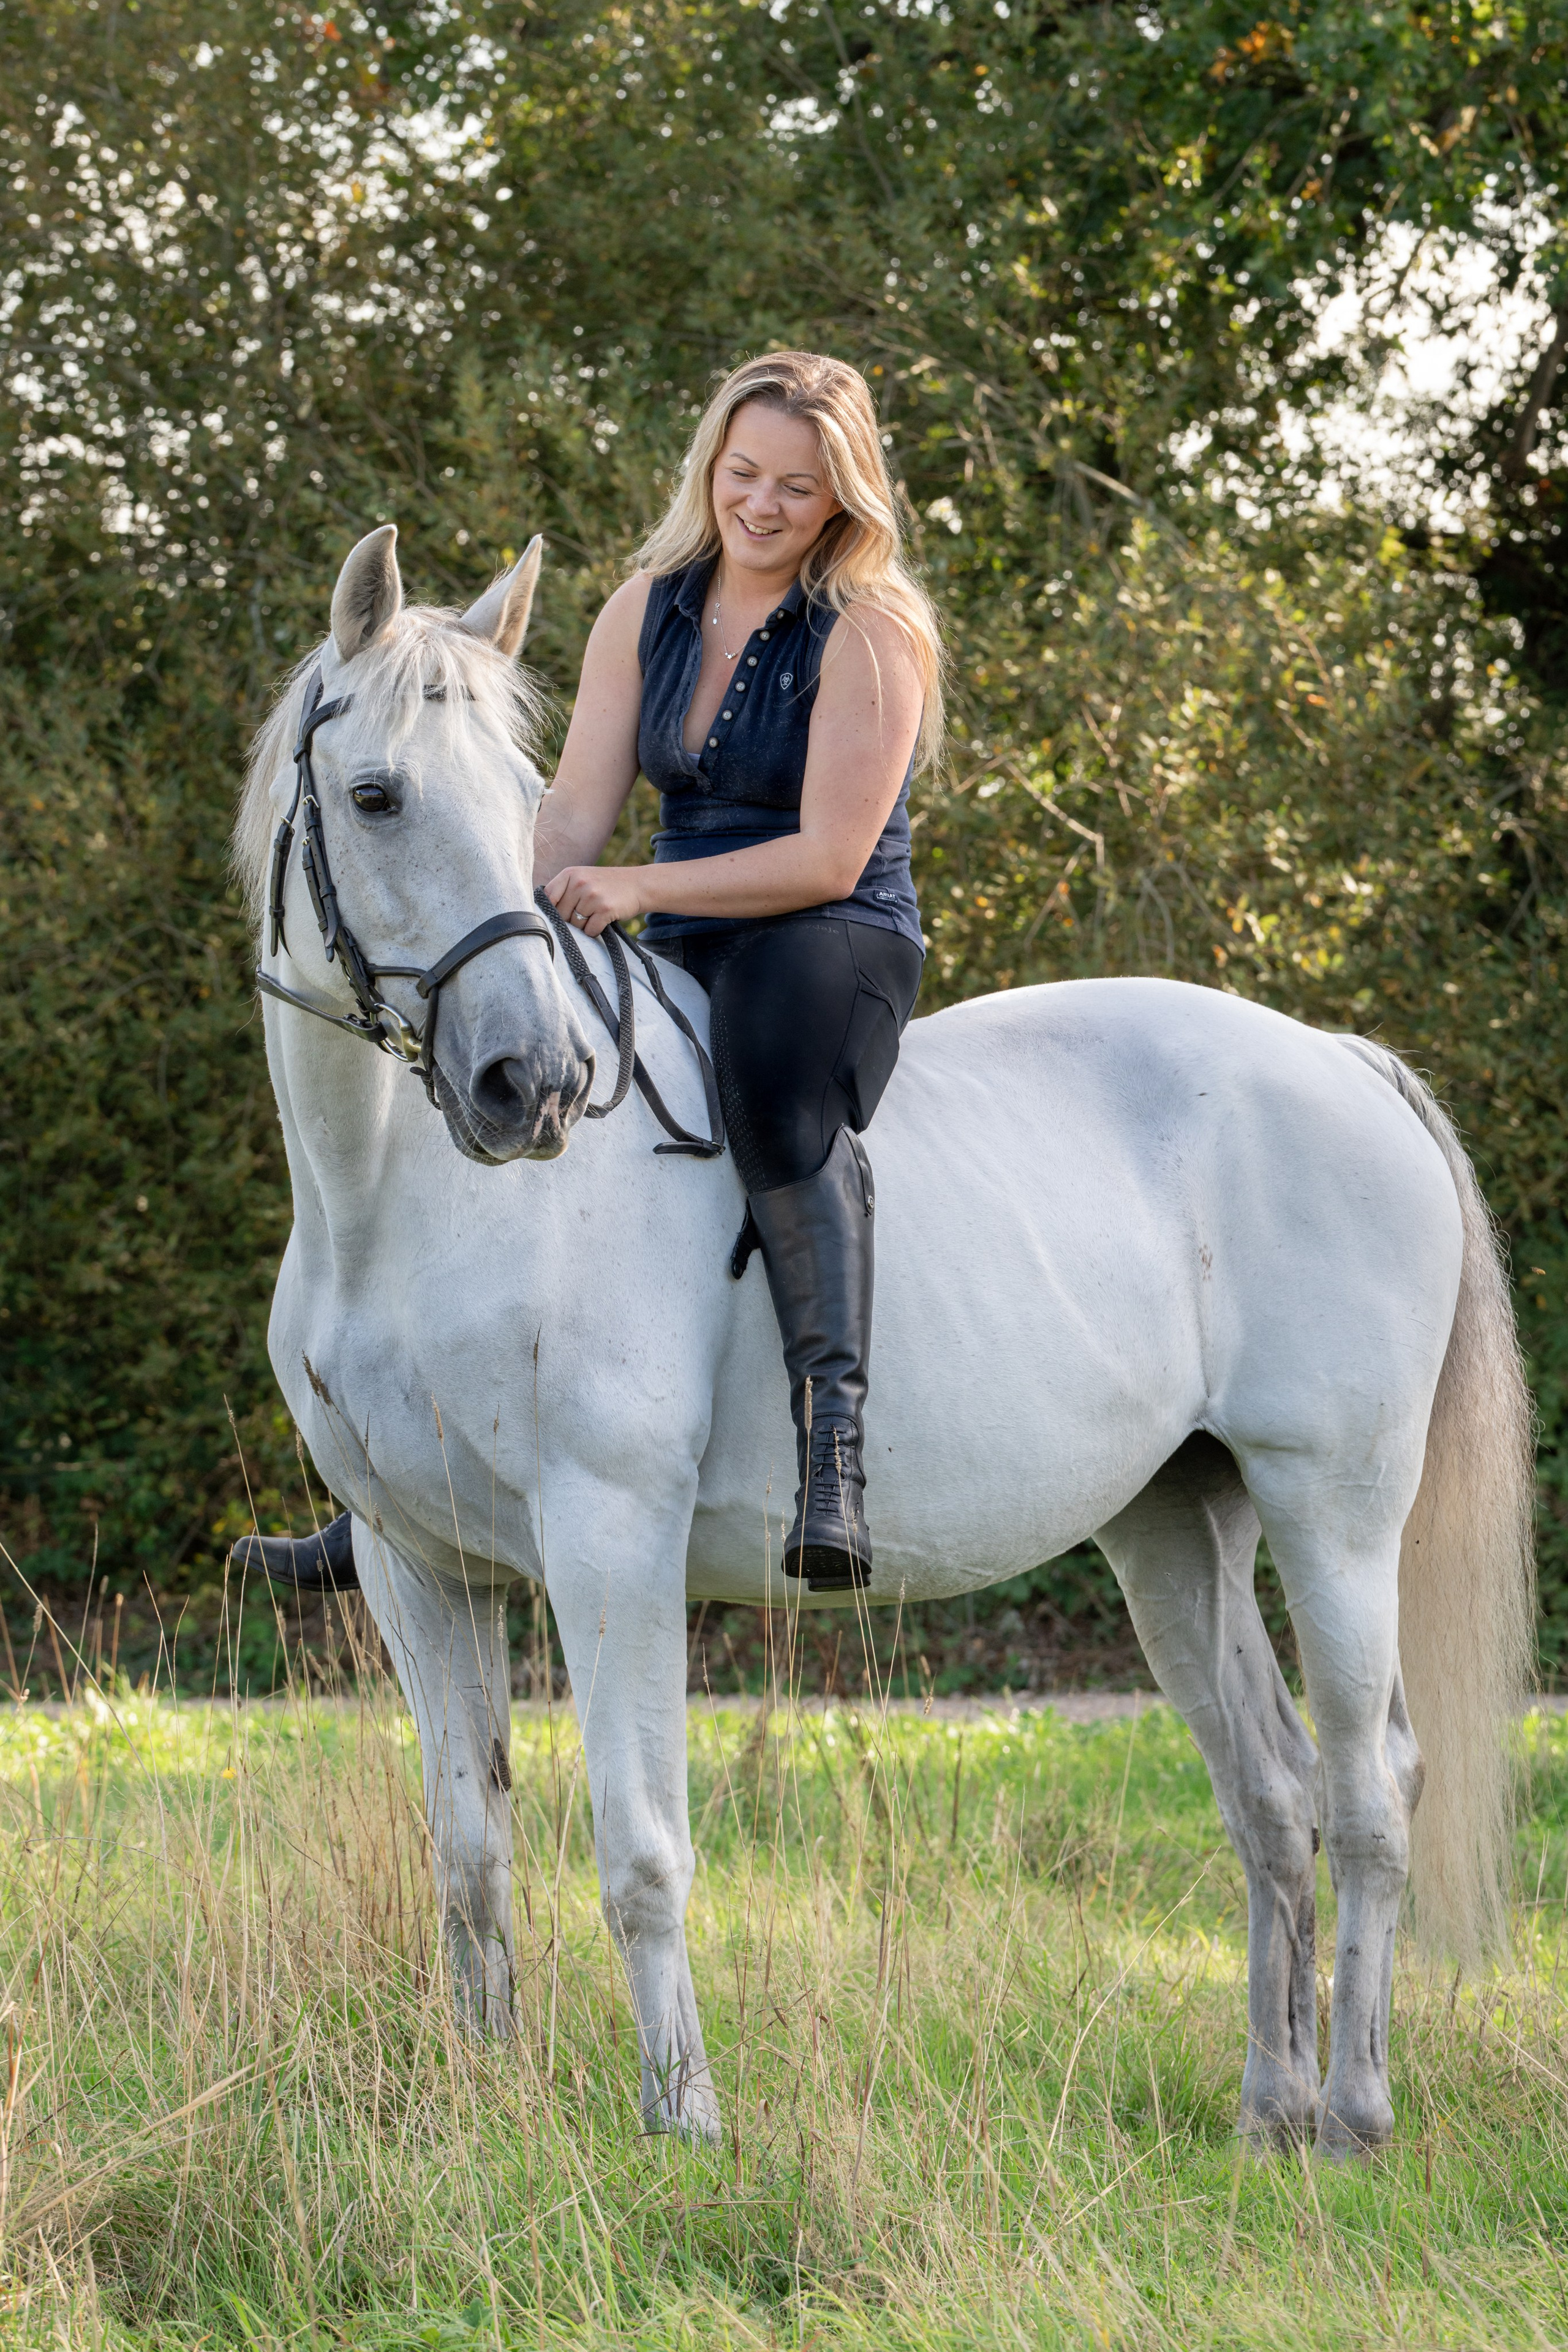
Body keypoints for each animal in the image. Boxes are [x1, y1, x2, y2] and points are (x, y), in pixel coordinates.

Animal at [234, 522, 1534, 2160]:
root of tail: (1345, 1064)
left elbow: (640, 1848)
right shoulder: (422, 1569)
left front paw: (684, 2123)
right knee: (1271, 1797)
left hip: (1333, 1507)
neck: (403, 1209)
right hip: (1175, 1527)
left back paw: (1355, 2114)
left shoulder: (607, 1540)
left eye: (520, 802)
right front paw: (486, 2104)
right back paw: (1268, 2112)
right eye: (378, 797)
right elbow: (468, 1852)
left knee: (1369, 1787)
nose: (530, 1085)